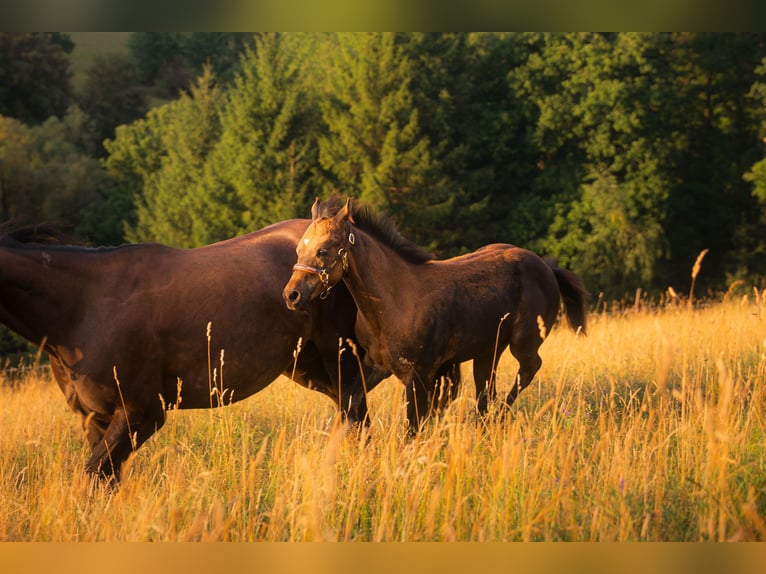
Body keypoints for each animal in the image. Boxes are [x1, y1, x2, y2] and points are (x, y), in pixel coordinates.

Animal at [0, 220, 386, 482]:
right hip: (308, 368)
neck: (86, 307)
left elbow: (95, 473)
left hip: (339, 361)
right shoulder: (94, 418)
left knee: (359, 418)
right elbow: (104, 479)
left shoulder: (142, 414)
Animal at [283, 197, 588, 431]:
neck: (393, 302)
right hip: (488, 351)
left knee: (529, 368)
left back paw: (500, 414)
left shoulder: (419, 374)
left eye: (323, 250)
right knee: (485, 391)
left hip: (523, 341)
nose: (292, 295)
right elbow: (349, 399)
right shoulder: (376, 365)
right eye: (298, 249)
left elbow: (413, 427)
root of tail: (546, 267)